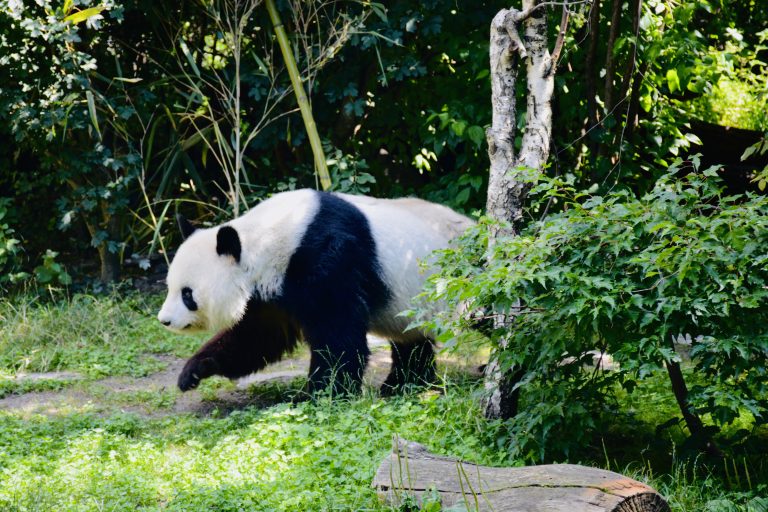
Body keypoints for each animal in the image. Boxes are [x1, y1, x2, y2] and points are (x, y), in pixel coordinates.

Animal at [158, 190, 474, 394]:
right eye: (170, 287)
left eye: (187, 294)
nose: (164, 320)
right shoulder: (274, 290)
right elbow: (257, 337)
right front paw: (194, 371)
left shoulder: (327, 258)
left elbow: (338, 337)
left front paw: (322, 394)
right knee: (412, 340)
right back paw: (402, 384)